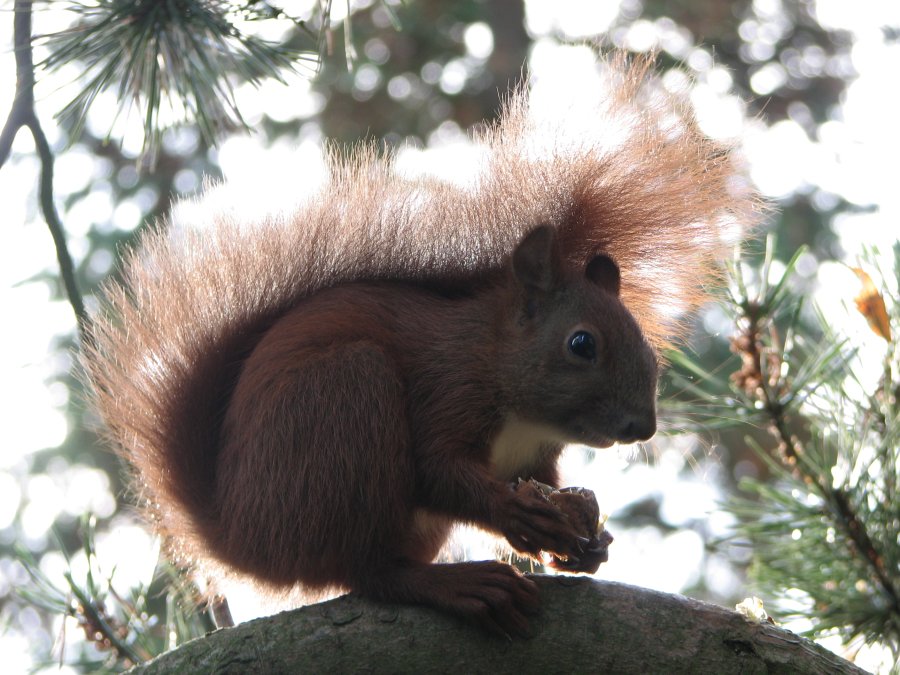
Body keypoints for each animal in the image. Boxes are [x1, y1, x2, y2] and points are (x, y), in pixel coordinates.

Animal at [83, 54, 756, 637]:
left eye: (643, 342)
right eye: (581, 343)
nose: (643, 426)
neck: (503, 376)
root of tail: (243, 540)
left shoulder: (534, 459)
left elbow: (541, 482)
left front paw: (587, 535)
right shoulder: (446, 383)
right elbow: (439, 470)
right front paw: (520, 514)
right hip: (344, 404)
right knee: (368, 570)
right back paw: (456, 586)